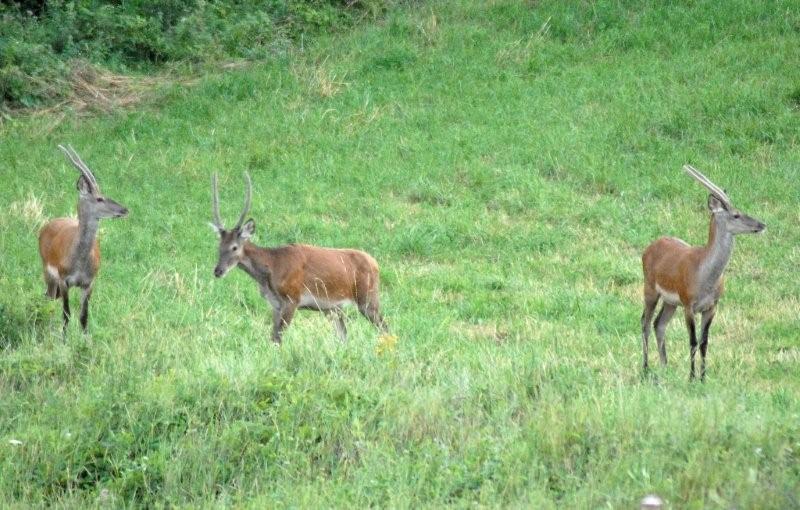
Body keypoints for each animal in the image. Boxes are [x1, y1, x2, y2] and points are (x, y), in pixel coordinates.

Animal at [37, 145, 128, 332]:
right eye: (99, 198)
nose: (124, 209)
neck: (78, 262)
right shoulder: (64, 280)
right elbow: (66, 315)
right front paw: (63, 339)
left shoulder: (89, 282)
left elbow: (83, 317)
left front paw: (86, 339)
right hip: (47, 270)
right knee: (47, 296)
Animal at [211, 173, 390, 344]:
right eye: (219, 247)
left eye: (234, 247)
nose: (218, 271)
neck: (271, 269)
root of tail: (375, 264)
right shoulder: (275, 305)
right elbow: (273, 337)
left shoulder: (292, 298)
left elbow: (278, 339)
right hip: (334, 309)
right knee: (344, 336)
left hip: (368, 298)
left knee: (385, 327)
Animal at [640, 165, 764, 380]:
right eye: (736, 214)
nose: (761, 225)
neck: (705, 278)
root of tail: (647, 249)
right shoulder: (688, 303)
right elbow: (692, 340)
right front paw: (691, 378)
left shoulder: (712, 305)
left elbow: (705, 342)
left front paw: (704, 377)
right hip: (650, 288)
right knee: (645, 323)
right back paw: (646, 368)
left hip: (671, 301)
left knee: (659, 324)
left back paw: (665, 365)